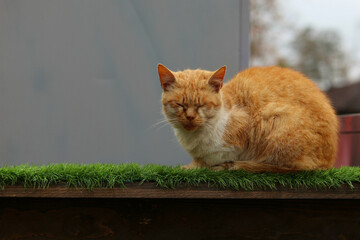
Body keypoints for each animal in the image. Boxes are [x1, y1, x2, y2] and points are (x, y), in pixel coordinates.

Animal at [158, 64, 338, 172]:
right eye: (180, 105)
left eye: (201, 105)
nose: (190, 117)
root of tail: (329, 162)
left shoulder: (236, 140)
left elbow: (208, 161)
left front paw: (192, 167)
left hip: (273, 117)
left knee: (291, 168)